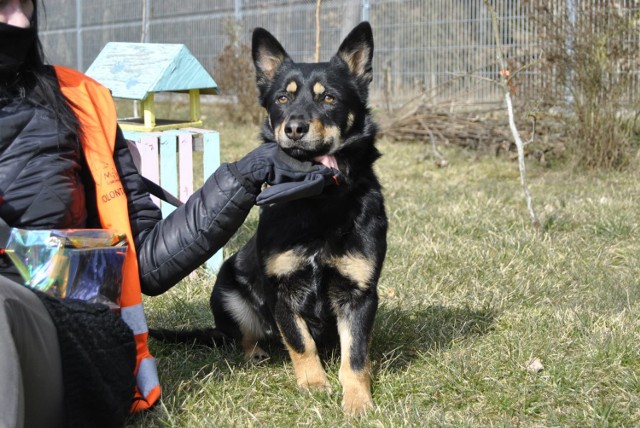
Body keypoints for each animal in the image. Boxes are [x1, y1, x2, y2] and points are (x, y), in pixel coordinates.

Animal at [155, 22, 388, 414]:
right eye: (282, 98)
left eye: (329, 99)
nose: (294, 128)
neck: (319, 203)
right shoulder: (282, 290)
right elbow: (301, 342)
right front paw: (313, 384)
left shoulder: (359, 294)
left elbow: (355, 356)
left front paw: (357, 400)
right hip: (228, 291)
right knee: (246, 337)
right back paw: (256, 354)